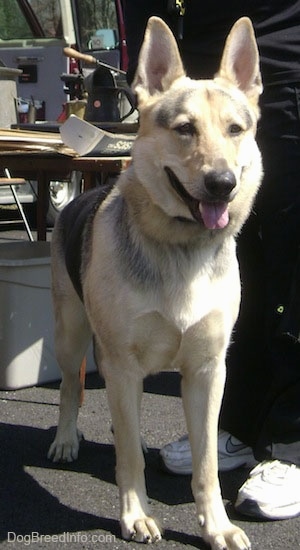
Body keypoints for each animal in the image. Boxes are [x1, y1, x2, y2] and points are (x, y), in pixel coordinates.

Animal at [48, 15, 262, 548]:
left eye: (235, 130)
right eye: (185, 129)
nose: (223, 184)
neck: (179, 249)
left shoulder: (207, 373)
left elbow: (206, 466)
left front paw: (216, 524)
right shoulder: (123, 367)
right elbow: (126, 457)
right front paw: (135, 514)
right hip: (70, 336)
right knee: (70, 389)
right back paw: (65, 438)